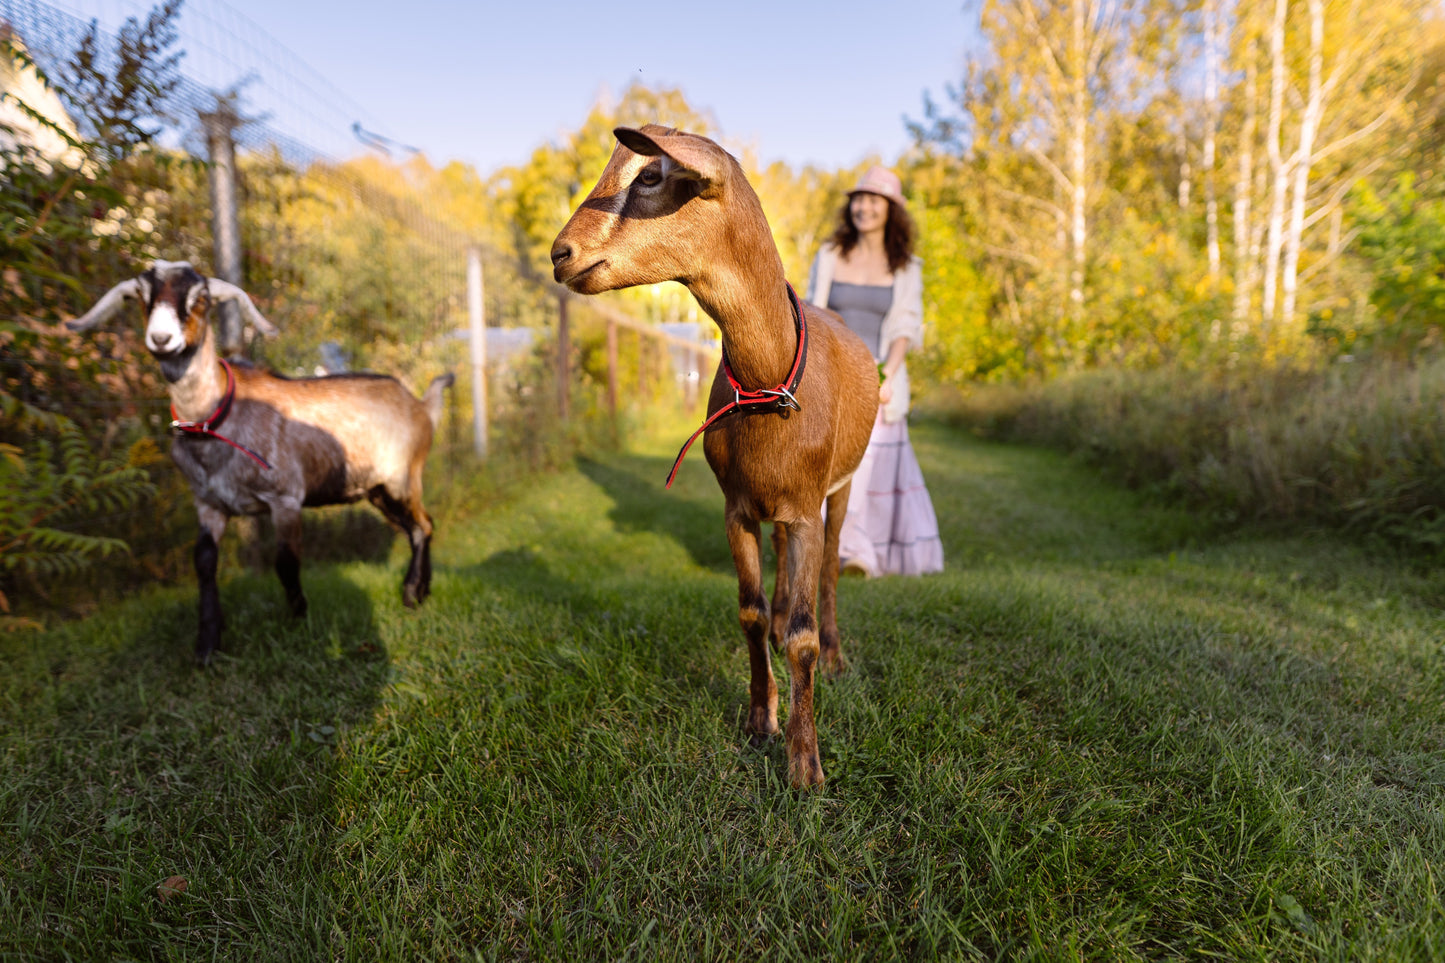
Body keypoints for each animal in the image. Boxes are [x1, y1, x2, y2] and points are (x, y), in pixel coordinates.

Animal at [67, 261, 453, 664]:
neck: (215, 418)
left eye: (201, 298)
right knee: (417, 527)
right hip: (376, 489)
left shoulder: (285, 497)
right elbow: (204, 561)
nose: (161, 338)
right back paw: (421, 591)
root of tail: (421, 405)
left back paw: (411, 595)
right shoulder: (208, 503)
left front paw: (299, 617)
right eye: (143, 296)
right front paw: (208, 643)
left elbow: (285, 561)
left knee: (423, 524)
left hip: (403, 477)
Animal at [551, 126, 878, 788]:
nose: (559, 253)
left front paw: (805, 764)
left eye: (650, 176)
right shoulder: (737, 507)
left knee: (830, 572)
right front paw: (759, 720)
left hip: (840, 489)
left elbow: (803, 633)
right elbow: (749, 612)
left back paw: (835, 656)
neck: (770, 381)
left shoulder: (807, 505)